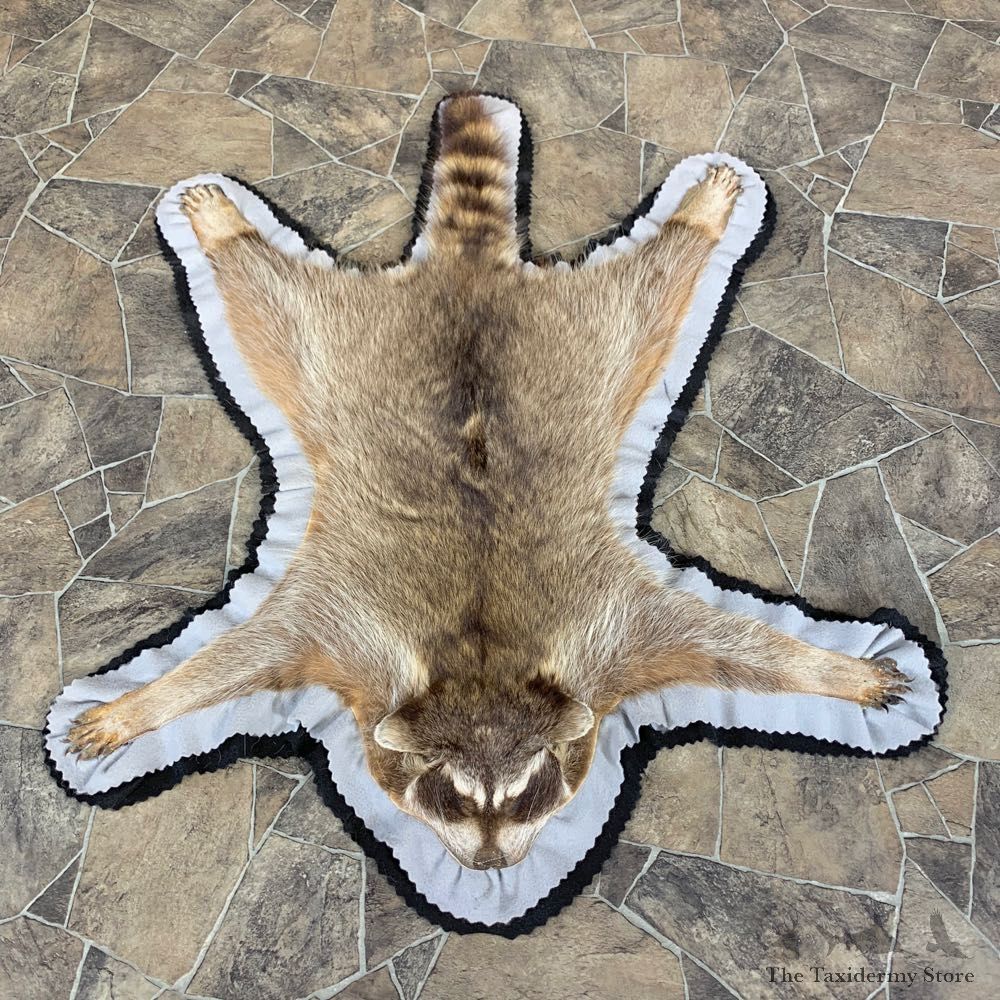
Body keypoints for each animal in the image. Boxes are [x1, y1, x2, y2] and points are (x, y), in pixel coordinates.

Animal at [68, 94, 908, 870]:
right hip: (341, 353)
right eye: (450, 795)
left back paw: (697, 219)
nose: (494, 865)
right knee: (270, 295)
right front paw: (139, 706)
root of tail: (468, 269)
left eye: (528, 794)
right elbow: (236, 659)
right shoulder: (341, 631)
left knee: (652, 283)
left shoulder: (614, 634)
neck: (481, 671)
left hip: (582, 344)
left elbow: (733, 645)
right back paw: (226, 228)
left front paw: (838, 670)